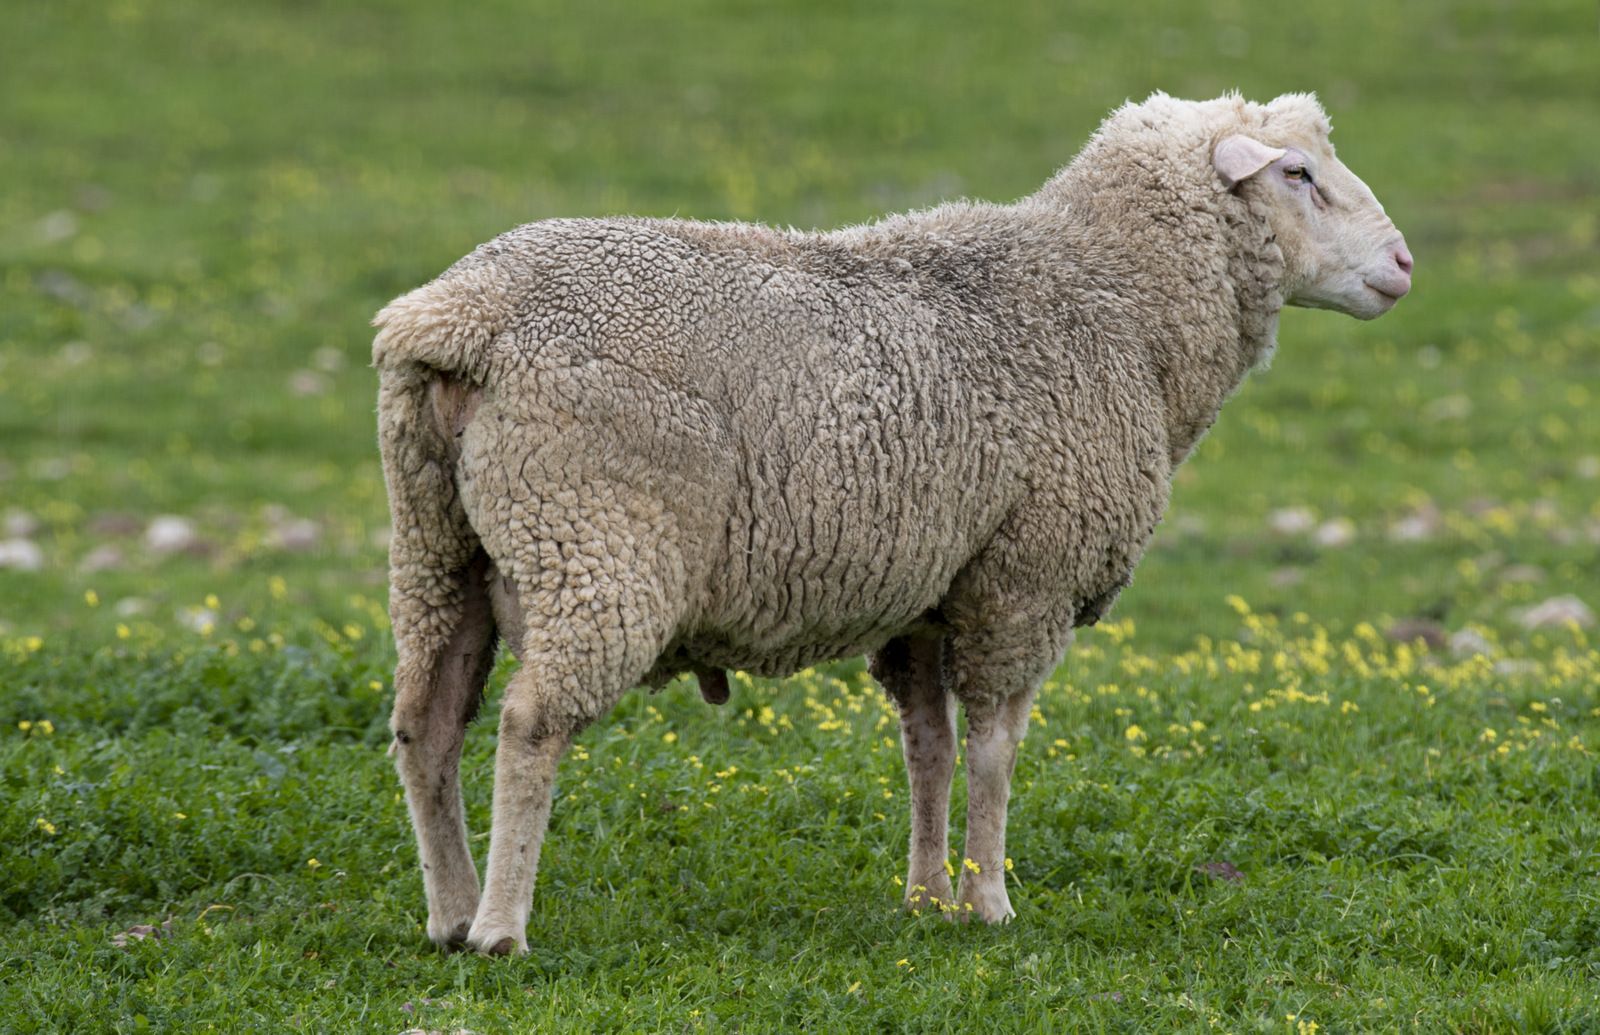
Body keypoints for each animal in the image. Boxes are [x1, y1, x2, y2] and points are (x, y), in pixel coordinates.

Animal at [373, 91, 1412, 955]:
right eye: (1298, 173)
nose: (1404, 265)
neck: (1116, 299)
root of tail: (461, 317)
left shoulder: (926, 593)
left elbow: (929, 748)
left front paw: (926, 898)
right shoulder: (1024, 579)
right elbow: (994, 749)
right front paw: (990, 902)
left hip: (439, 548)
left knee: (428, 724)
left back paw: (448, 912)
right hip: (593, 539)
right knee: (531, 723)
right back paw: (501, 927)